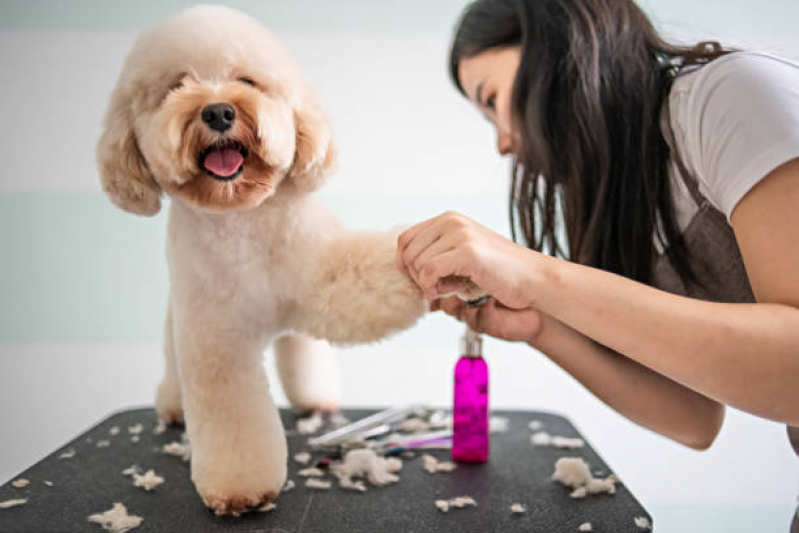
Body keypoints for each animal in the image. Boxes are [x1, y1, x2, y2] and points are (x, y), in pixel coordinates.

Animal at [98, 3, 432, 512]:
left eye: (248, 80)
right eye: (176, 86)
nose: (218, 111)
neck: (242, 220)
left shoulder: (322, 274)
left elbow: (362, 277)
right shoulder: (217, 340)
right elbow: (232, 414)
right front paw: (240, 488)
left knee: (301, 348)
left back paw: (315, 397)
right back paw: (172, 405)